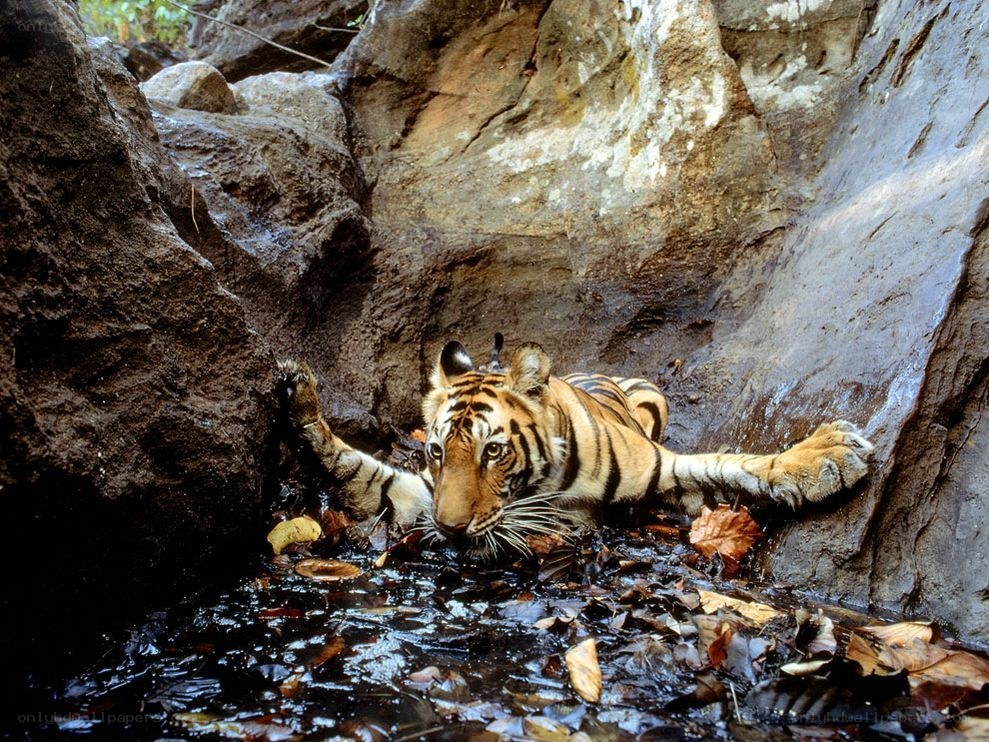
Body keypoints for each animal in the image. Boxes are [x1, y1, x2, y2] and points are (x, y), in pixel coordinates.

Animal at [278, 339, 874, 557]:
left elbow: (733, 464)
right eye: (437, 452)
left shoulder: (665, 468)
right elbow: (358, 468)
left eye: (492, 452)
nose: (448, 530)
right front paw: (299, 398)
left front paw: (831, 453)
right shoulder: (417, 497)